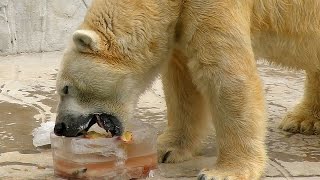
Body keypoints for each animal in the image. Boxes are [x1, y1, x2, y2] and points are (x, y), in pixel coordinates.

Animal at [54, 0, 320, 179]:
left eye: (65, 88)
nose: (60, 127)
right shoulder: (182, 19)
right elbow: (183, 83)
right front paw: (166, 148)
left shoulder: (216, 6)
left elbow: (227, 77)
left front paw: (222, 172)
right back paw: (303, 120)